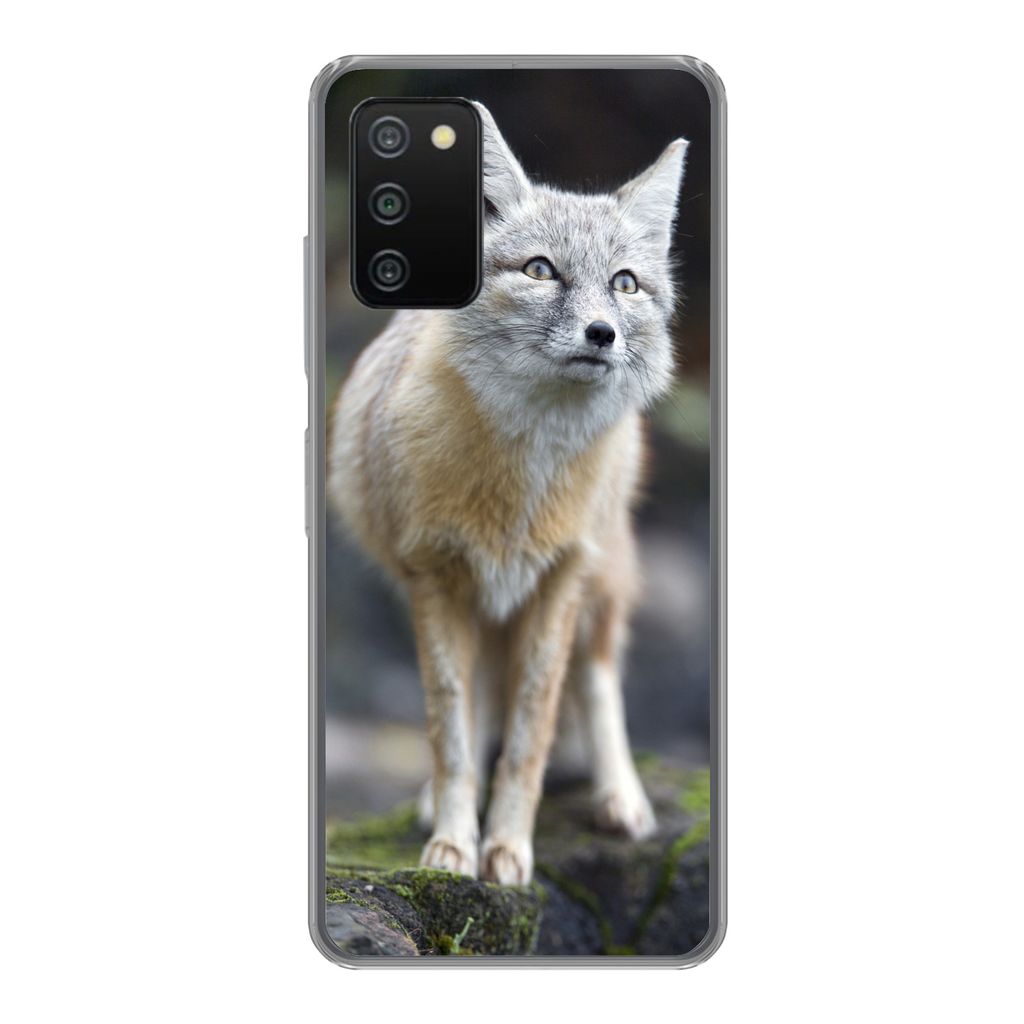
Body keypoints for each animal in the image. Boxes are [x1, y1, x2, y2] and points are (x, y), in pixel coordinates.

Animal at [329, 103, 687, 885]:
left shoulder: (558, 581)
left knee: (598, 677)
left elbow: (532, 733)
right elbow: (453, 731)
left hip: (598, 583)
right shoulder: (435, 578)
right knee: (479, 700)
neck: (520, 487)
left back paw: (621, 797)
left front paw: (509, 848)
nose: (601, 333)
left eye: (624, 283)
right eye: (540, 271)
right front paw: (455, 844)